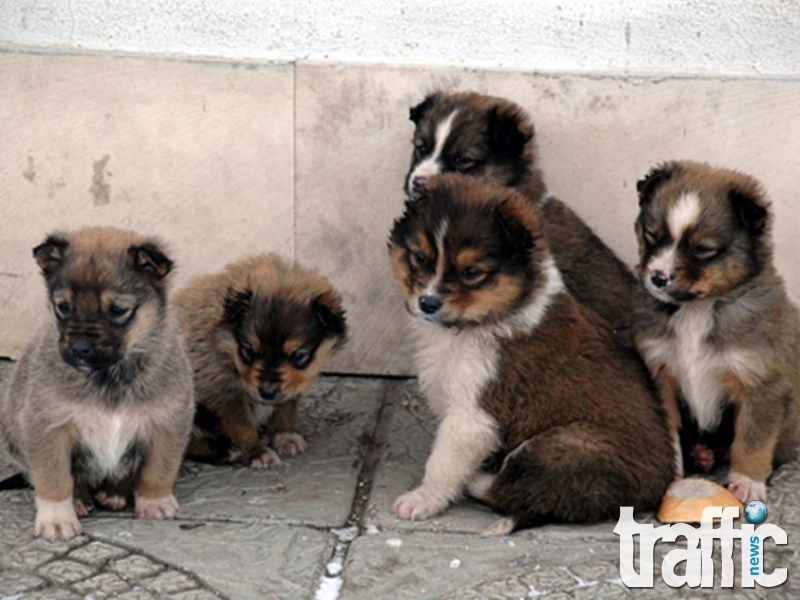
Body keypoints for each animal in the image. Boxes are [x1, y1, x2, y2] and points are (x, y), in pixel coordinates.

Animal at [0, 227, 194, 540]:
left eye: (117, 309)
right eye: (62, 307)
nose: (79, 348)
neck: (109, 377)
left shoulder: (167, 422)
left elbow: (159, 469)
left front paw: (155, 502)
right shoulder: (48, 427)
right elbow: (54, 477)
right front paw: (56, 519)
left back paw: (113, 494)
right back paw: (80, 500)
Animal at [173, 253, 346, 468]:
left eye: (298, 356)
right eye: (248, 351)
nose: (267, 393)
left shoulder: (294, 383)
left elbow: (286, 408)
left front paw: (284, 435)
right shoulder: (221, 387)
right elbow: (243, 426)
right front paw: (256, 452)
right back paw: (229, 451)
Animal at [388, 173, 676, 536]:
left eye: (471, 273)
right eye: (419, 258)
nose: (427, 303)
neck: (483, 322)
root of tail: (651, 493)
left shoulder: (476, 413)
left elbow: (443, 462)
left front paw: (421, 500)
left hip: (565, 444)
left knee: (527, 495)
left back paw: (482, 482)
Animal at [632, 159, 800, 502]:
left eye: (703, 249)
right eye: (652, 234)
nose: (657, 277)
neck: (697, 309)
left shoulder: (761, 382)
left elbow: (752, 439)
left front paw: (747, 484)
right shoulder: (660, 373)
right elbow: (668, 430)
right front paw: (673, 473)